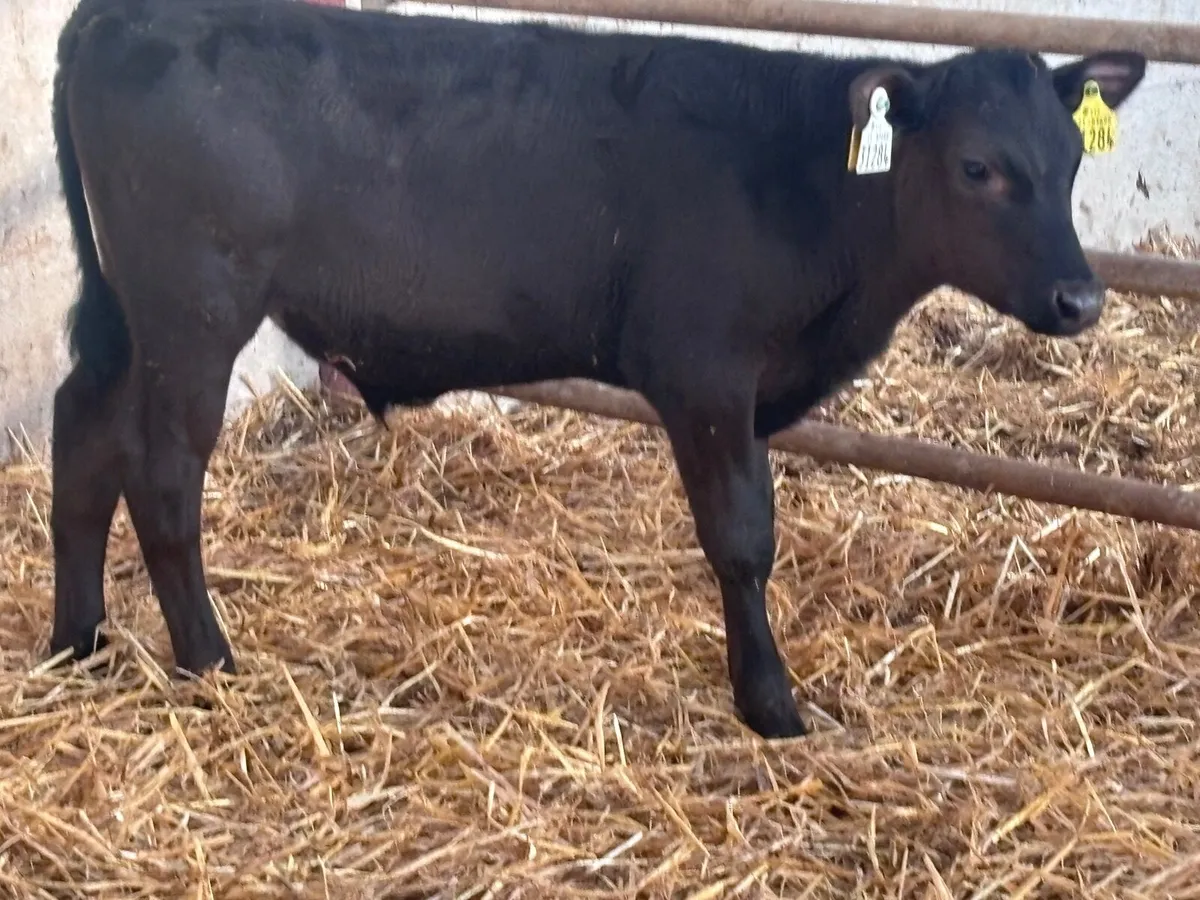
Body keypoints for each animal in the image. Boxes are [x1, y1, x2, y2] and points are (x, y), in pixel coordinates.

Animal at [47, 0, 1145, 739]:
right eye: (977, 167)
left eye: (1071, 161)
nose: (1080, 300)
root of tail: (116, 17)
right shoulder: (705, 375)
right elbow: (743, 540)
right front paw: (771, 704)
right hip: (193, 315)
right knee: (160, 475)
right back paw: (208, 663)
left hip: (125, 317)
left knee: (81, 436)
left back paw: (78, 638)